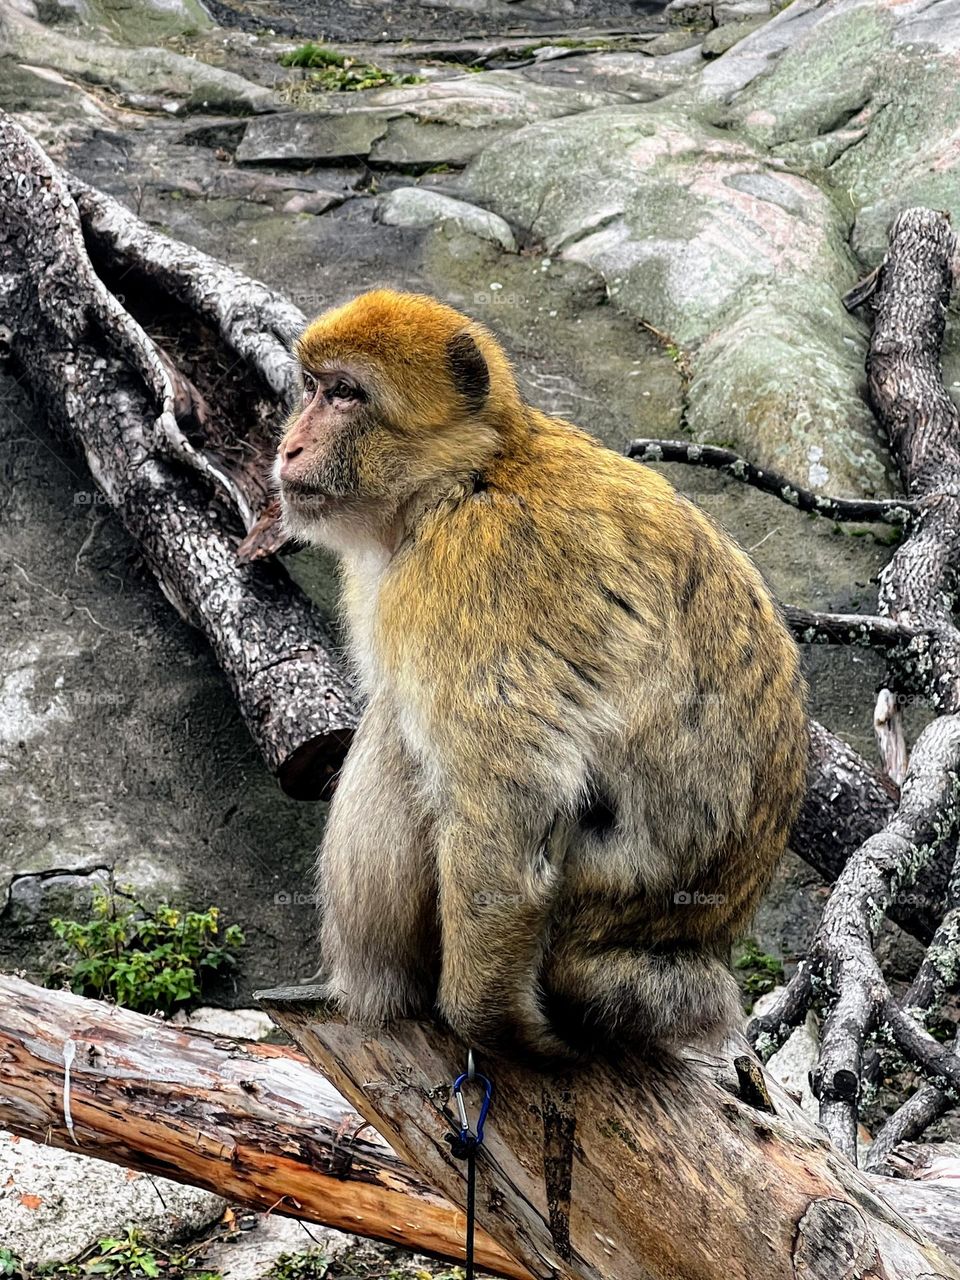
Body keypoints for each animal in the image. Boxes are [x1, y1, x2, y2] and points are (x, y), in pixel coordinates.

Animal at [274, 288, 809, 1062]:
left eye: (346, 394)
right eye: (311, 387)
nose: (289, 445)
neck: (465, 479)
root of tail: (691, 949)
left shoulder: (467, 574)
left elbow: (508, 804)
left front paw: (494, 1026)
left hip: (583, 914)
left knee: (403, 742)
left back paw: (376, 992)